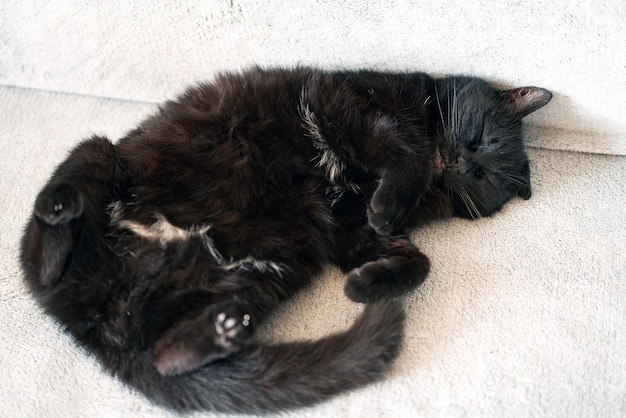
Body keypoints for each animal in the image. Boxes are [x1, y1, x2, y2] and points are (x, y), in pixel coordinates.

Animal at [19, 67, 548, 414]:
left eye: (483, 178)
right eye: (481, 139)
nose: (462, 162)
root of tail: (88, 324)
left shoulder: (348, 228)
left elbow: (414, 260)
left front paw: (362, 285)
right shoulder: (340, 100)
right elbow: (401, 150)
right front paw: (392, 200)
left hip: (263, 271)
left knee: (168, 356)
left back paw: (222, 330)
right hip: (97, 153)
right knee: (45, 255)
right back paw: (59, 214)